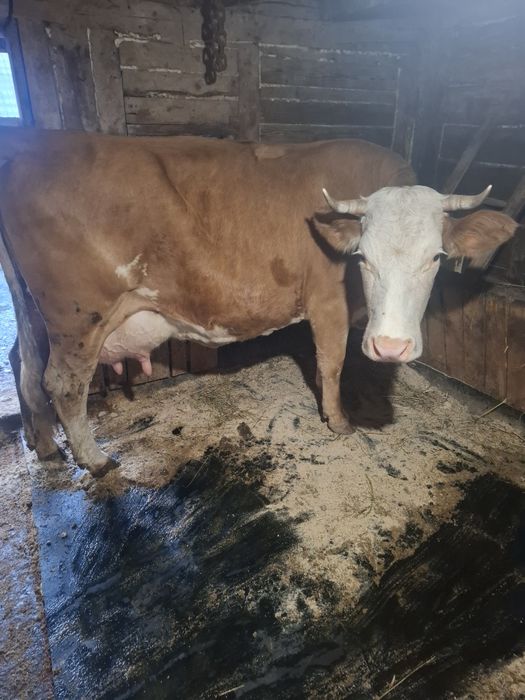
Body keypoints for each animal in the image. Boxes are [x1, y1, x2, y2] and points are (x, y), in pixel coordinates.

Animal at [0, 128, 517, 476]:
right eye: (362, 257)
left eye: (436, 257)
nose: (391, 347)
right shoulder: (326, 300)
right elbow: (332, 361)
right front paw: (339, 421)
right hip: (77, 315)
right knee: (63, 383)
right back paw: (95, 459)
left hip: (37, 315)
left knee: (22, 360)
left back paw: (43, 444)